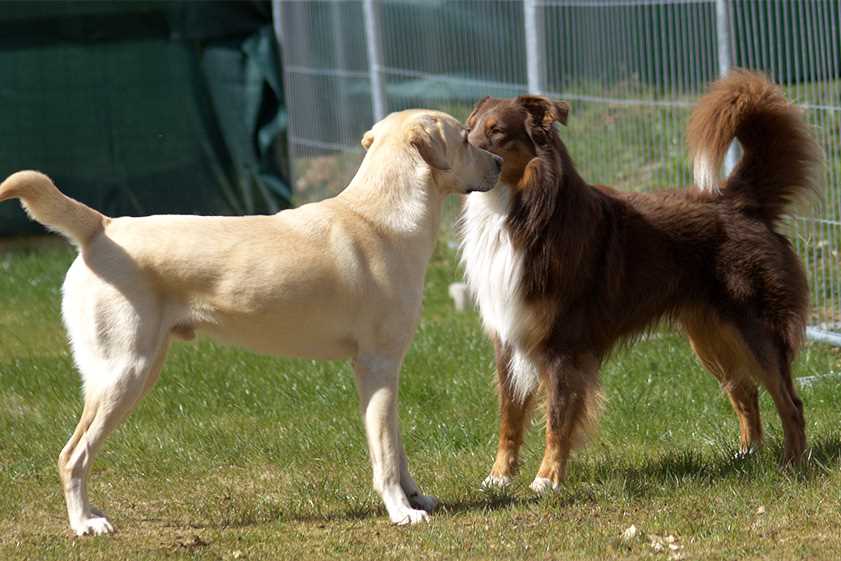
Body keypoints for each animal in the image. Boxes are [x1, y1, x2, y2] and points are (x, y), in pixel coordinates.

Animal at [460, 71, 820, 494]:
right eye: (467, 129)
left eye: (496, 132)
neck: (518, 210)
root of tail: (739, 201)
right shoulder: (508, 338)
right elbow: (510, 416)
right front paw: (499, 477)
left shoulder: (564, 345)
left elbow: (557, 418)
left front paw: (547, 480)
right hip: (711, 335)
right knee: (744, 390)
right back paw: (747, 456)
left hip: (755, 328)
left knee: (789, 401)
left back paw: (792, 465)